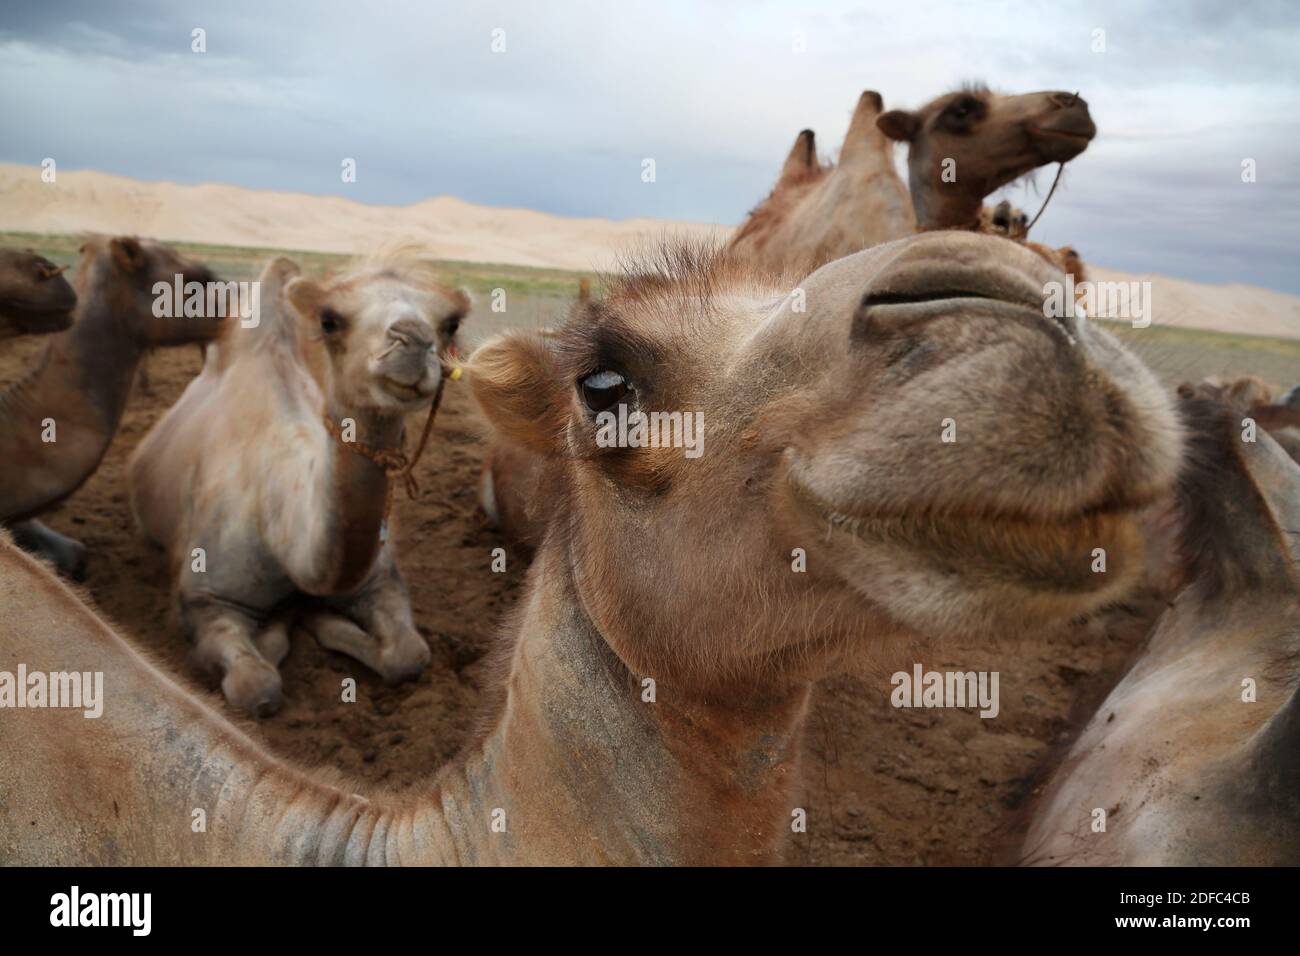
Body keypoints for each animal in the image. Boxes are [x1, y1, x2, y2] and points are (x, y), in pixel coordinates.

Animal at [126, 254, 470, 717]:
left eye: (451, 323)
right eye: (330, 320)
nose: (412, 340)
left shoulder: (380, 578)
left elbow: (410, 655)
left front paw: (320, 618)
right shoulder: (204, 598)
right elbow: (256, 686)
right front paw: (289, 622)